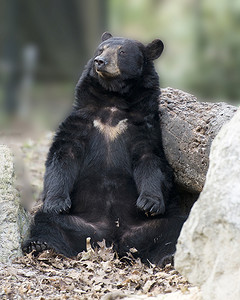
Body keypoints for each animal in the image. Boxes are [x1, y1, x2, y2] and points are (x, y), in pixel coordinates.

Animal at [23, 33, 186, 268]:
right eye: (100, 49)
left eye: (122, 52)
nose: (100, 62)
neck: (112, 101)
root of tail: (113, 240)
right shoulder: (81, 121)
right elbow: (63, 155)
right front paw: (56, 202)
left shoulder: (145, 127)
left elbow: (151, 160)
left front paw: (149, 203)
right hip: (78, 225)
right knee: (46, 222)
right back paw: (41, 245)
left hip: (155, 227)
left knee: (174, 228)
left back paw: (169, 256)